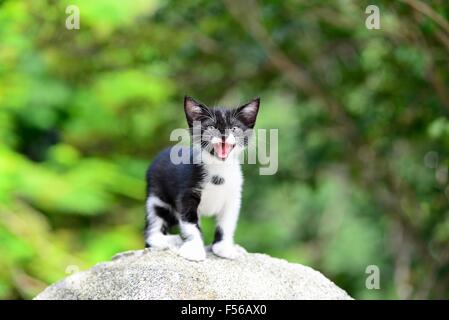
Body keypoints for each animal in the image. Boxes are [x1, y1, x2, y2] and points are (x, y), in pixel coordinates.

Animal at [144, 95, 260, 260]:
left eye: (234, 128)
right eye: (211, 127)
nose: (223, 135)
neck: (219, 170)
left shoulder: (233, 196)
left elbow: (227, 223)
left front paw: (223, 247)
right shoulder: (187, 194)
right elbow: (191, 223)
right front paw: (194, 249)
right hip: (156, 196)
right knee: (153, 224)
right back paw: (167, 240)